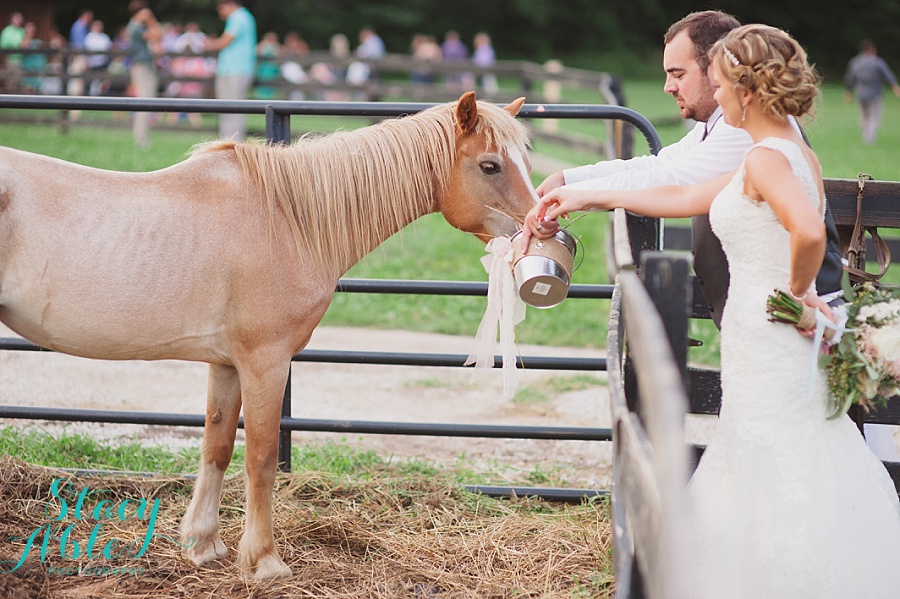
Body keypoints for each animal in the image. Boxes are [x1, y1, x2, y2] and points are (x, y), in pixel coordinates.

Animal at [0, 91, 536, 580]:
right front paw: (264, 562)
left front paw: (204, 546)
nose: (542, 226)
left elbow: (216, 446)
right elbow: (260, 457)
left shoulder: (225, 363)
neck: (287, 218)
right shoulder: (266, 362)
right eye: (490, 166)